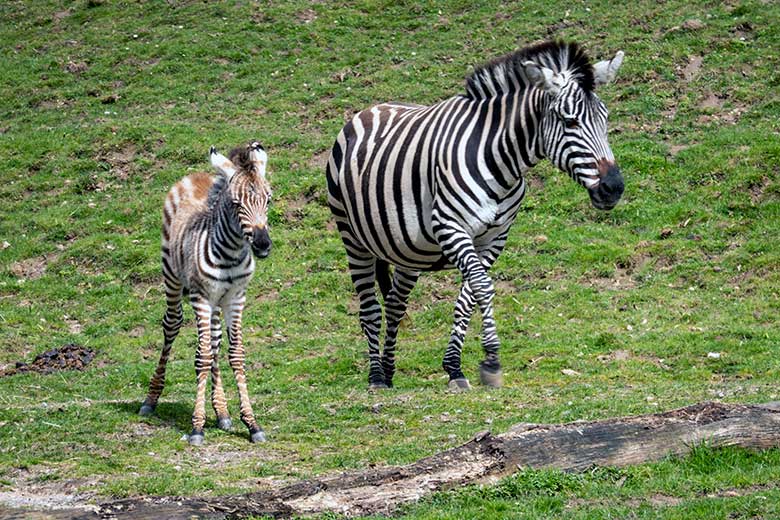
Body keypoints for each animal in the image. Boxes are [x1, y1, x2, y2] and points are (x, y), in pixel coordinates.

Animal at [141, 140, 274, 444]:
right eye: (236, 204)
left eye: (269, 200)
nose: (262, 244)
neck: (232, 253)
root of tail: (196, 174)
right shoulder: (201, 297)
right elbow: (201, 358)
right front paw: (197, 427)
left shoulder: (235, 298)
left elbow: (235, 354)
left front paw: (251, 423)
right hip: (173, 276)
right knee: (172, 325)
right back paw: (151, 399)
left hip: (216, 301)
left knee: (213, 341)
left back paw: (222, 412)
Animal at [326, 39, 624, 390]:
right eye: (570, 122)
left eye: (604, 120)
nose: (614, 187)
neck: (501, 161)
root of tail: (370, 109)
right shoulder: (450, 226)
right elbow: (482, 286)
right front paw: (491, 360)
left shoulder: (495, 238)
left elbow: (469, 293)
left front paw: (455, 367)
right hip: (352, 238)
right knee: (370, 309)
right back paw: (375, 376)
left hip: (408, 248)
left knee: (396, 303)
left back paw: (388, 370)